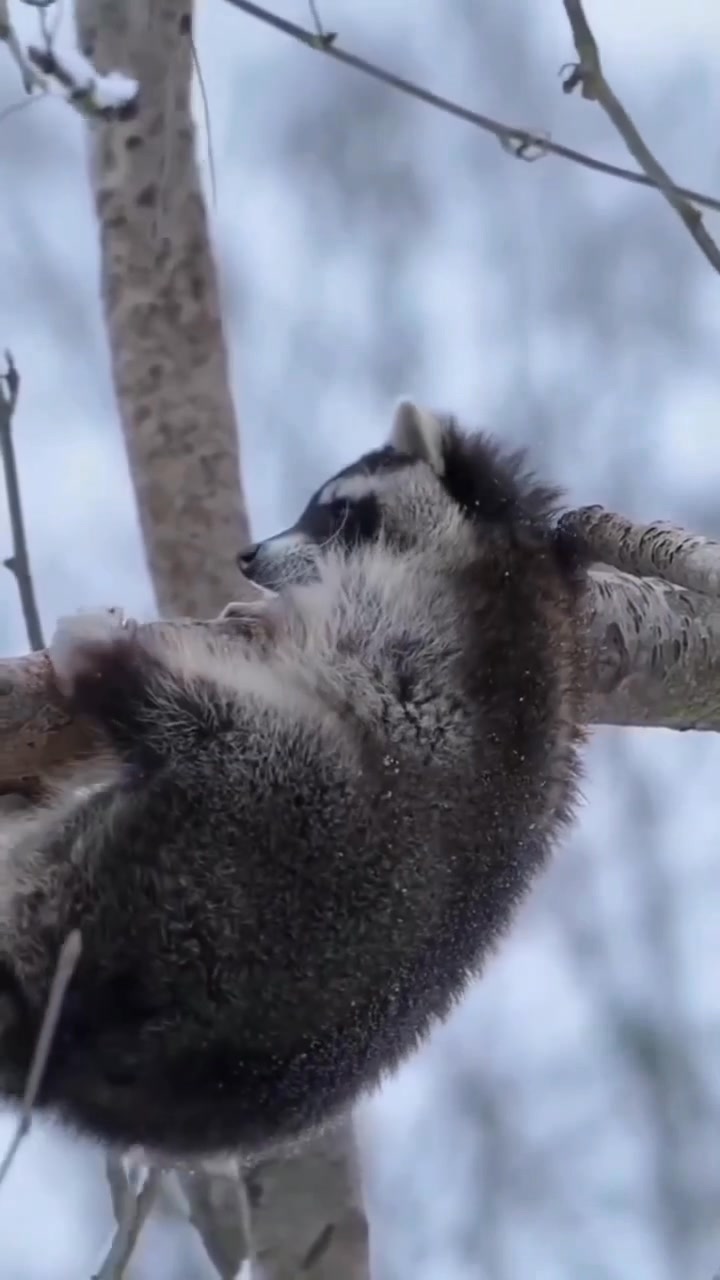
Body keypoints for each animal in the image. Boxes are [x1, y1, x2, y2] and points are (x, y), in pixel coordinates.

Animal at [0, 402, 588, 1159]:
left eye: (335, 511)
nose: (247, 558)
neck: (504, 541)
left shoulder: (421, 621)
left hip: (281, 829)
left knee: (235, 730)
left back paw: (121, 675)